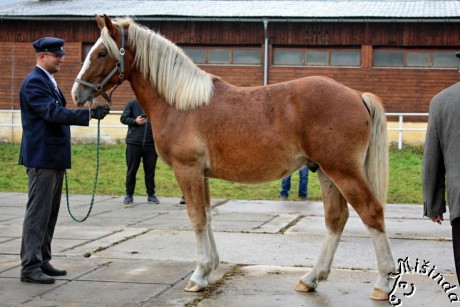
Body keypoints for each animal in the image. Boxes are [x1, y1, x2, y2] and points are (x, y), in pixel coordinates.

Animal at [72, 14, 396, 300]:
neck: (180, 103)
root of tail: (357, 95)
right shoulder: (200, 174)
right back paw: (310, 278)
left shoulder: (187, 170)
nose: (77, 93)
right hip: (326, 173)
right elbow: (207, 216)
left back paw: (382, 283)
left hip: (343, 171)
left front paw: (198, 275)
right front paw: (209, 268)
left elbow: (196, 218)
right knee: (335, 219)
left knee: (371, 213)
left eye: (101, 52)